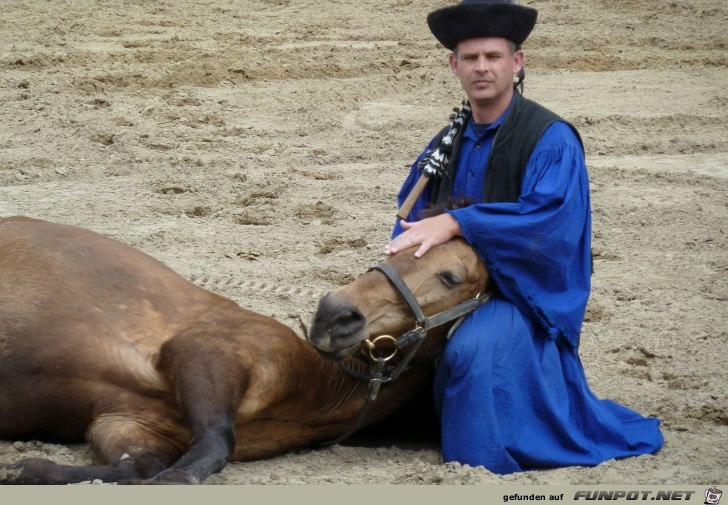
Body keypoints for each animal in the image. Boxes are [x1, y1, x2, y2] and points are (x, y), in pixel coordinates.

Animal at [1, 215, 490, 482]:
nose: (334, 314)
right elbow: (209, 447)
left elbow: (141, 466)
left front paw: (23, 469)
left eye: (450, 276)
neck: (315, 386)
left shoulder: (122, 422)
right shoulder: (203, 350)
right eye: (392, 249)